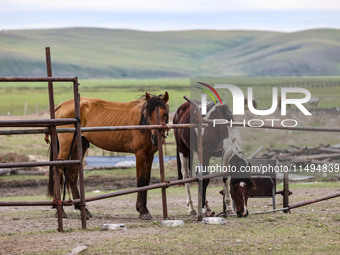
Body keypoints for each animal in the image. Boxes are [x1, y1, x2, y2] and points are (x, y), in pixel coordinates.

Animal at [47, 91, 169, 219]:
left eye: (165, 114)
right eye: (148, 115)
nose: (155, 138)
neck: (142, 124)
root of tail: (62, 105)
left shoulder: (149, 155)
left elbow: (146, 181)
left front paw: (144, 209)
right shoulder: (140, 155)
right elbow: (140, 181)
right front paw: (142, 210)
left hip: (78, 146)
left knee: (72, 175)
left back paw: (83, 210)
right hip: (66, 147)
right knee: (58, 172)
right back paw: (60, 210)